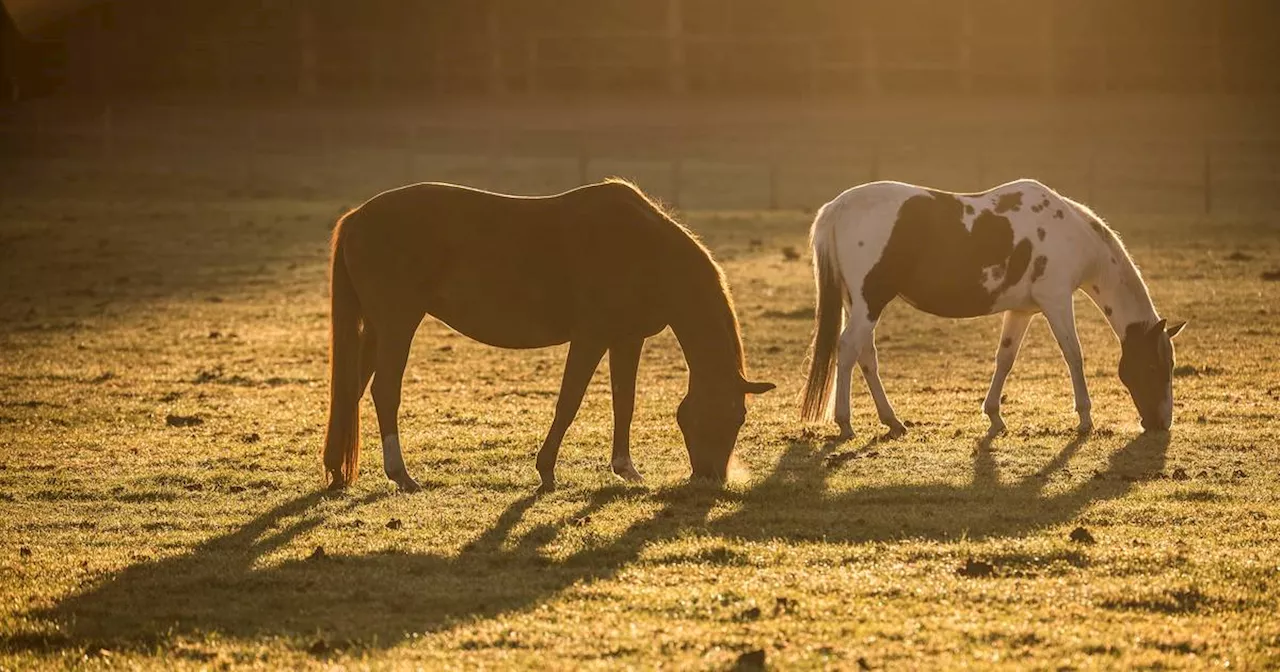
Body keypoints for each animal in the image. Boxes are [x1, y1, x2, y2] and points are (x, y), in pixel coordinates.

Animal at [325, 177, 773, 491]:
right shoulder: (590, 338)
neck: (645, 251)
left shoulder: (626, 340)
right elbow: (569, 401)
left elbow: (624, 402)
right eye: (733, 416)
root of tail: (357, 217)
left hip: (377, 328)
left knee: (352, 389)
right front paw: (546, 471)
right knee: (385, 391)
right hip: (398, 322)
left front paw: (625, 469)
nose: (713, 478)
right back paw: (400, 474)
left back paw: (335, 468)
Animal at [803, 177, 1182, 437]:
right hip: (870, 302)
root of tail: (837, 207)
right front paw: (1085, 418)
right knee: (848, 350)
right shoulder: (1057, 300)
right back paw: (845, 423)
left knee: (865, 355)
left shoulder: (1022, 311)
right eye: (1153, 367)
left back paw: (892, 421)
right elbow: (1073, 355)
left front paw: (994, 416)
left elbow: (1005, 358)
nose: (1161, 423)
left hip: (860, 304)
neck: (1071, 233)